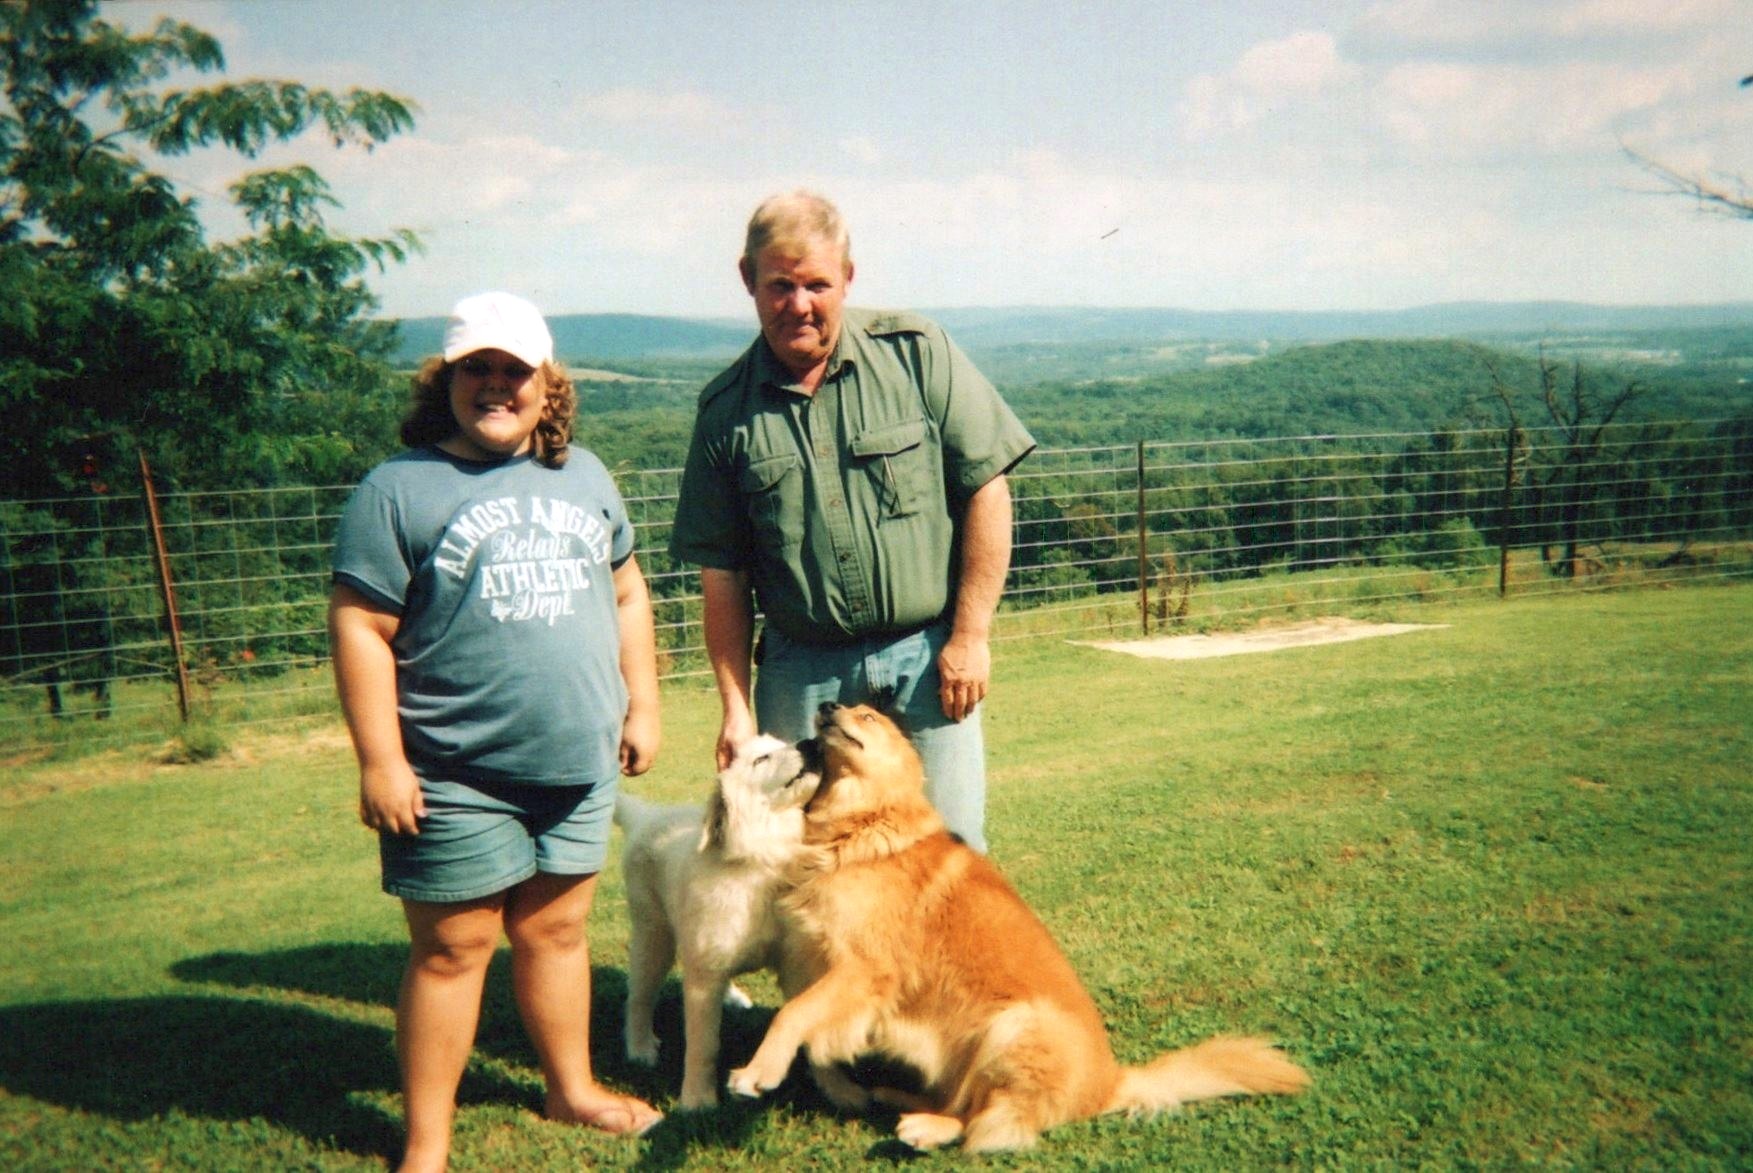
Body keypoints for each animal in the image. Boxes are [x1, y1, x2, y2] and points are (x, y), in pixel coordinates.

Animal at [615, 733, 821, 1109]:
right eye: (761, 760)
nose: (812, 742)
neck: (763, 864)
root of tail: (648, 815)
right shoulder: (702, 978)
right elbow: (704, 1044)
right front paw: (698, 1101)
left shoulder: (796, 962)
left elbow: (805, 1011)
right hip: (654, 932)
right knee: (639, 993)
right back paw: (640, 1048)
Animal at [726, 702, 1309, 1152]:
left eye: (866, 714)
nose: (825, 707)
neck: (867, 825)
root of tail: (1109, 1083)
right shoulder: (819, 959)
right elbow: (807, 1018)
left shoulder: (865, 970)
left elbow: (795, 1015)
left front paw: (757, 1072)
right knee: (964, 1101)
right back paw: (901, 1099)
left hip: (1011, 1028)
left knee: (985, 1122)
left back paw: (927, 1128)